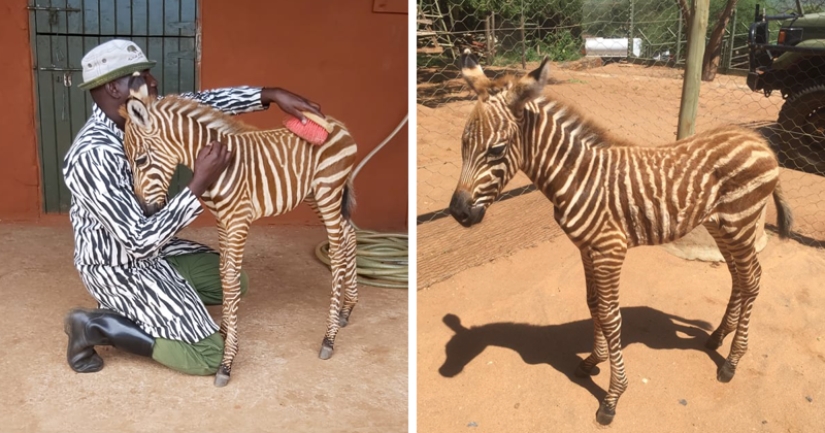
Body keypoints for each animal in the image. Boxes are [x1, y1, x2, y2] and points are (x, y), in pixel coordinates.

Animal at [448, 51, 793, 425]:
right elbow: (593, 304)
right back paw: (717, 338)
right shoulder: (587, 248)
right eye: (463, 144)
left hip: (740, 222)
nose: (458, 212)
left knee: (753, 279)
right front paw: (592, 361)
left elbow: (611, 316)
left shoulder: (609, 250)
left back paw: (732, 361)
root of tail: (759, 141)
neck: (578, 176)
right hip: (723, 226)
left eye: (496, 150)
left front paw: (613, 397)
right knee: (739, 278)